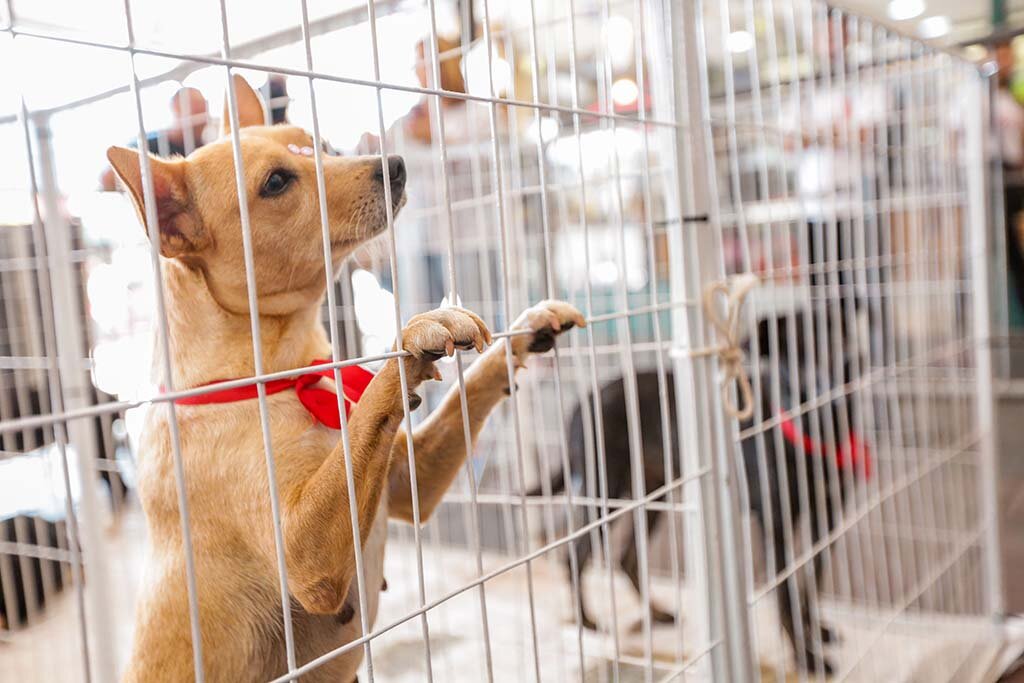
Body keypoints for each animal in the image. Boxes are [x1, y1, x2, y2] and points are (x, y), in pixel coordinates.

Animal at [108, 77, 585, 679]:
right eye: (276, 182)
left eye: (316, 145)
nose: (395, 164)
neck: (287, 377)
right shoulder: (304, 554)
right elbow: (380, 393)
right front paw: (415, 333)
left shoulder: (409, 484)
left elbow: (464, 391)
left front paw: (523, 331)